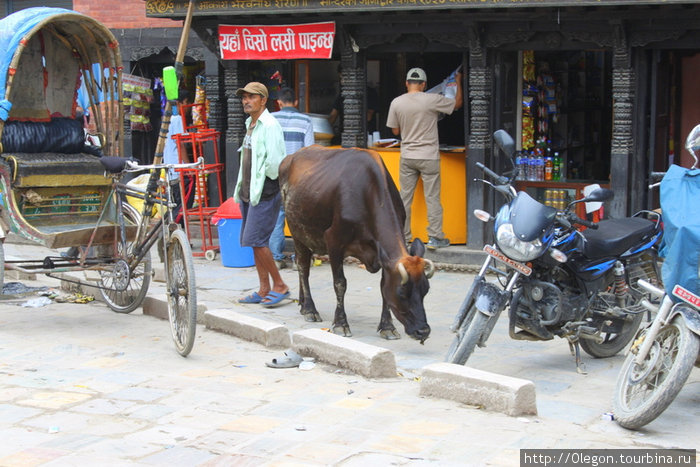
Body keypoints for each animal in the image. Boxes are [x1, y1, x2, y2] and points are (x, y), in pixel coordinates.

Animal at [278, 146, 432, 344]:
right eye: (402, 293)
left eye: (425, 290)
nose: (423, 331)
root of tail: (292, 156)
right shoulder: (333, 241)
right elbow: (340, 283)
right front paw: (341, 323)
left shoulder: (383, 256)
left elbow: (383, 287)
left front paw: (387, 327)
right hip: (297, 232)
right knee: (303, 268)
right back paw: (310, 309)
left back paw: (302, 303)